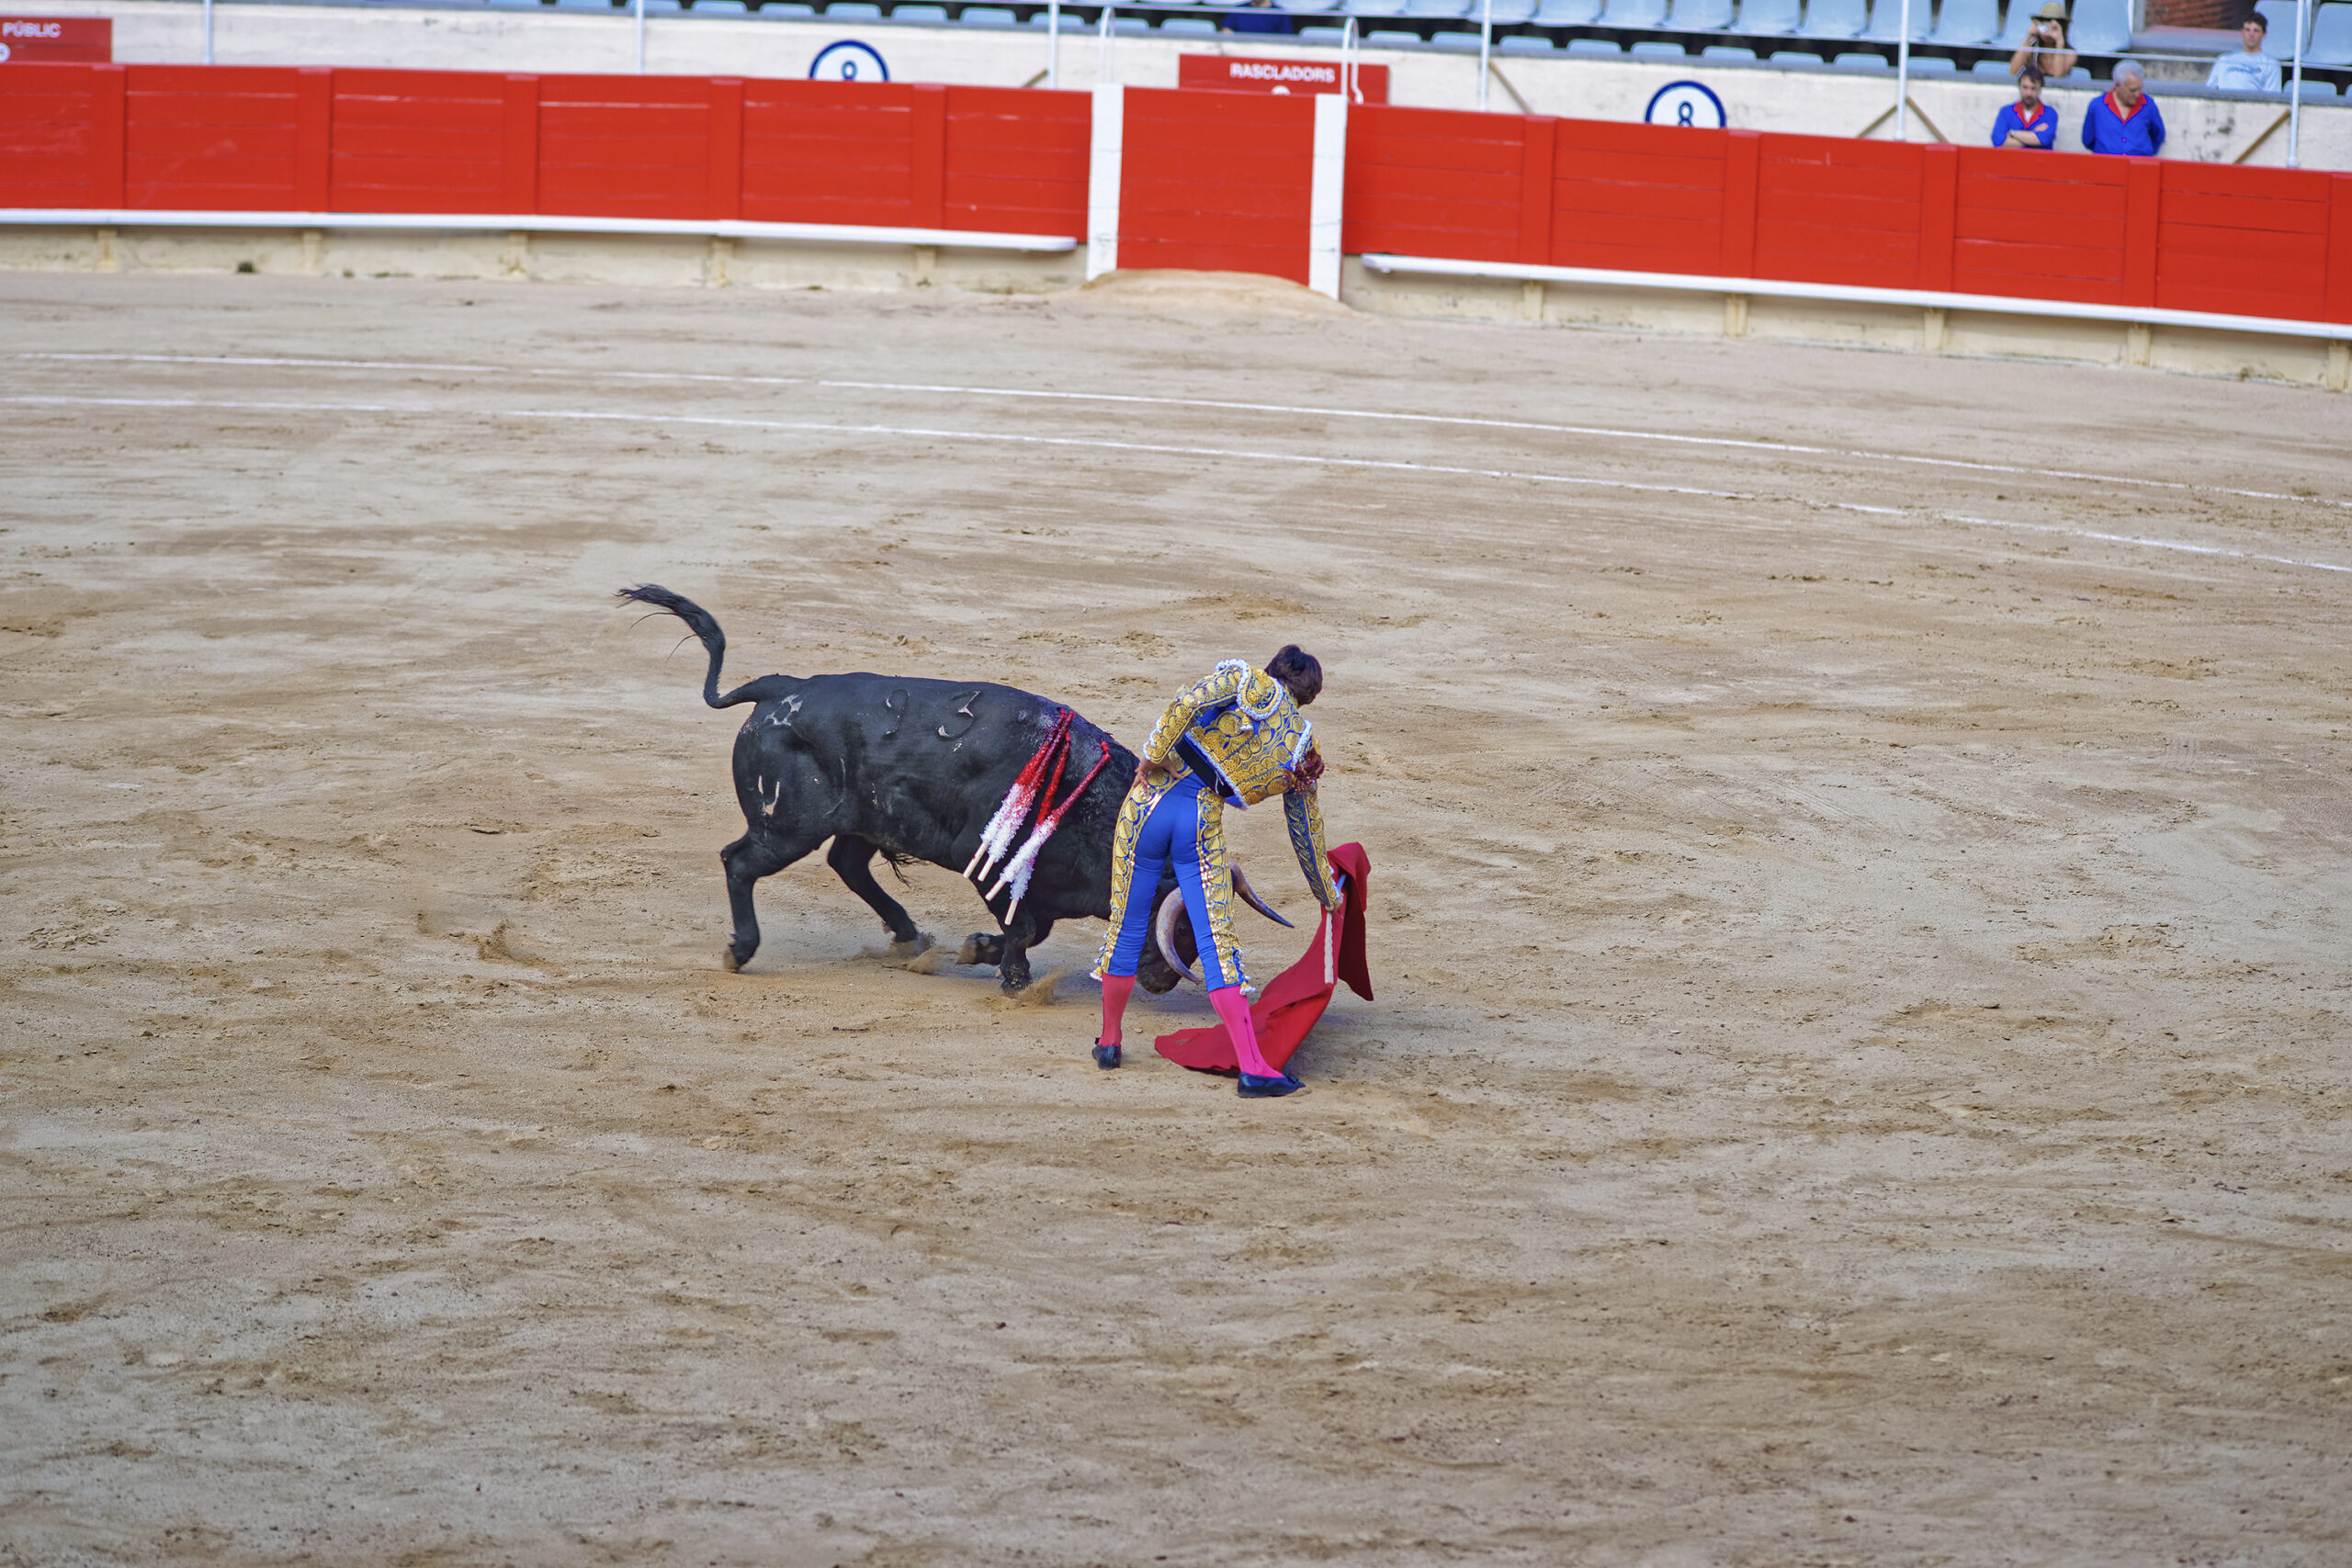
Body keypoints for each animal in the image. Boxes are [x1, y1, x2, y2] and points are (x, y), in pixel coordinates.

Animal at [620, 587, 1232, 991]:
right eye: (1174, 923)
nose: (1162, 981)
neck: (1087, 800)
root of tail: (779, 688)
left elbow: (1032, 927)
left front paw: (982, 951)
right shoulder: (982, 858)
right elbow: (1026, 927)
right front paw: (1008, 974)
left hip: (859, 820)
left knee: (846, 864)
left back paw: (908, 935)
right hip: (786, 828)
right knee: (741, 861)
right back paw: (741, 951)